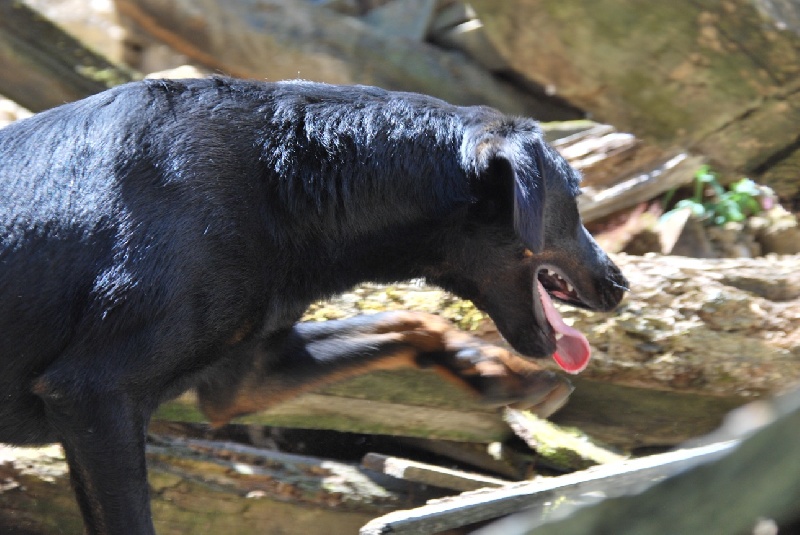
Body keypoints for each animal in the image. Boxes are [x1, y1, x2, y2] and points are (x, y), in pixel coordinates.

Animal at [0, 77, 627, 534]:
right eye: (575, 198)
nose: (620, 284)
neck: (294, 182)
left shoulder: (239, 378)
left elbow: (411, 320)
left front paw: (495, 370)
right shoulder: (94, 396)